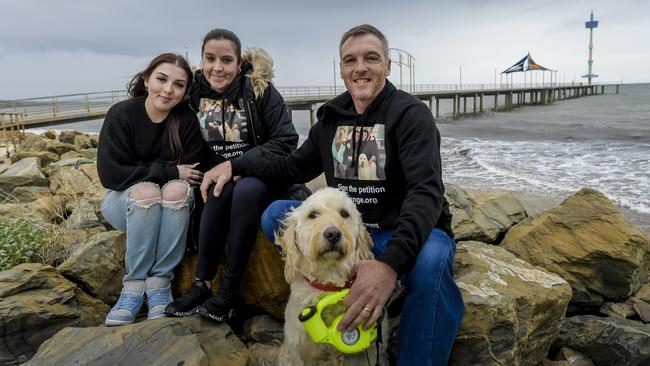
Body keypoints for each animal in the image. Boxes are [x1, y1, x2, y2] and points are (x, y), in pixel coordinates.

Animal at [276, 187, 388, 364]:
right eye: (312, 214)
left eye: (344, 213)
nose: (333, 233)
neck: (330, 284)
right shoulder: (300, 352)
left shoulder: (369, 355)